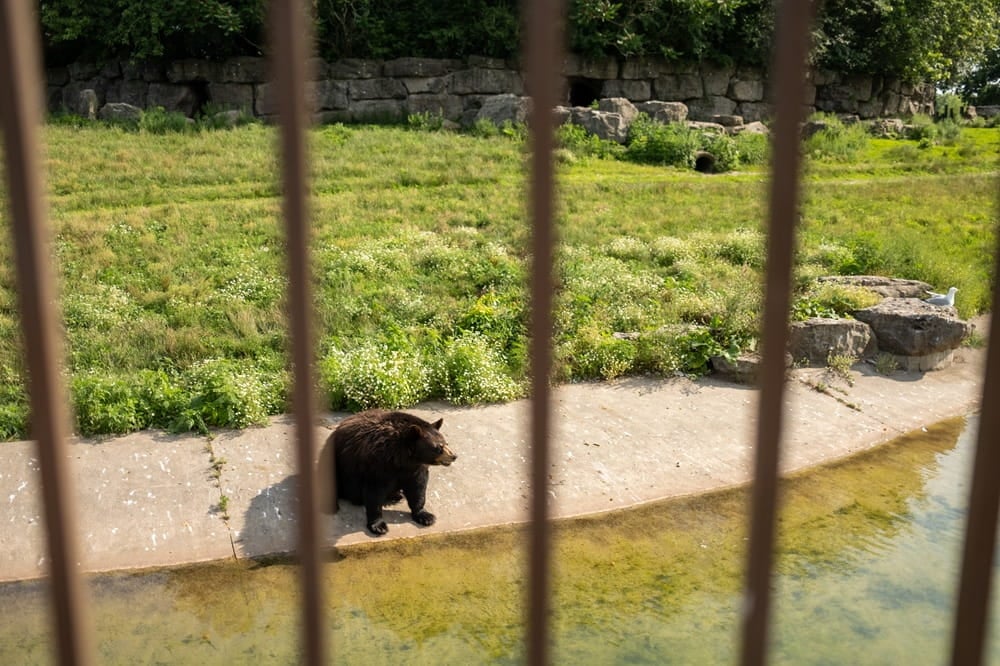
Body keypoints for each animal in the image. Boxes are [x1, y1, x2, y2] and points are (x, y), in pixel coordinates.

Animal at [324, 409, 457, 536]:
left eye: (446, 443)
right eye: (439, 447)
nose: (454, 456)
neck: (400, 458)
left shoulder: (414, 469)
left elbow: (418, 488)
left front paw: (426, 516)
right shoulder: (377, 465)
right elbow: (374, 492)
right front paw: (379, 526)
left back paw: (396, 495)